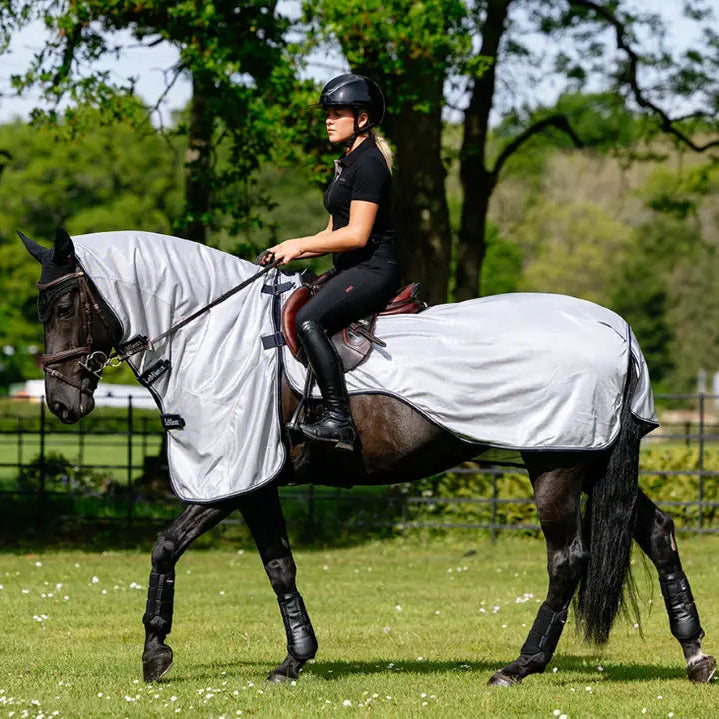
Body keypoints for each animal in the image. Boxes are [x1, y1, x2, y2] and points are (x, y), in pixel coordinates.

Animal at [20, 227, 716, 687]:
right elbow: (268, 565)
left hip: (556, 464)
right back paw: (695, 656)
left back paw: (520, 666)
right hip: (594, 461)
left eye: (63, 305)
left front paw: (159, 654)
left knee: (567, 560)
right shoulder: (254, 479)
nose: (61, 403)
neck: (216, 336)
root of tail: (613, 328)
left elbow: (182, 549)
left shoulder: (239, 477)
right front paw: (293, 657)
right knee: (658, 533)